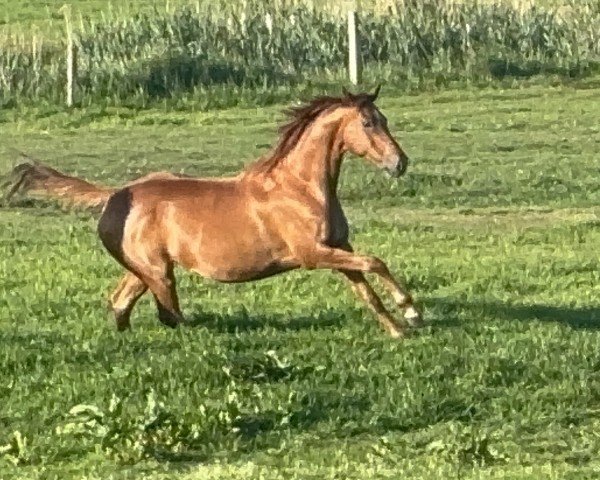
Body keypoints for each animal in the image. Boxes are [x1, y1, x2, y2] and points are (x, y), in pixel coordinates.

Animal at [95, 88, 422, 340]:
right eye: (367, 123)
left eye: (384, 120)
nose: (399, 163)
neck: (300, 188)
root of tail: (115, 197)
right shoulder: (313, 254)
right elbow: (375, 262)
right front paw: (411, 311)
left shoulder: (339, 246)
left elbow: (367, 291)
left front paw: (397, 330)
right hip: (158, 273)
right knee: (166, 313)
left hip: (146, 271)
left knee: (121, 302)